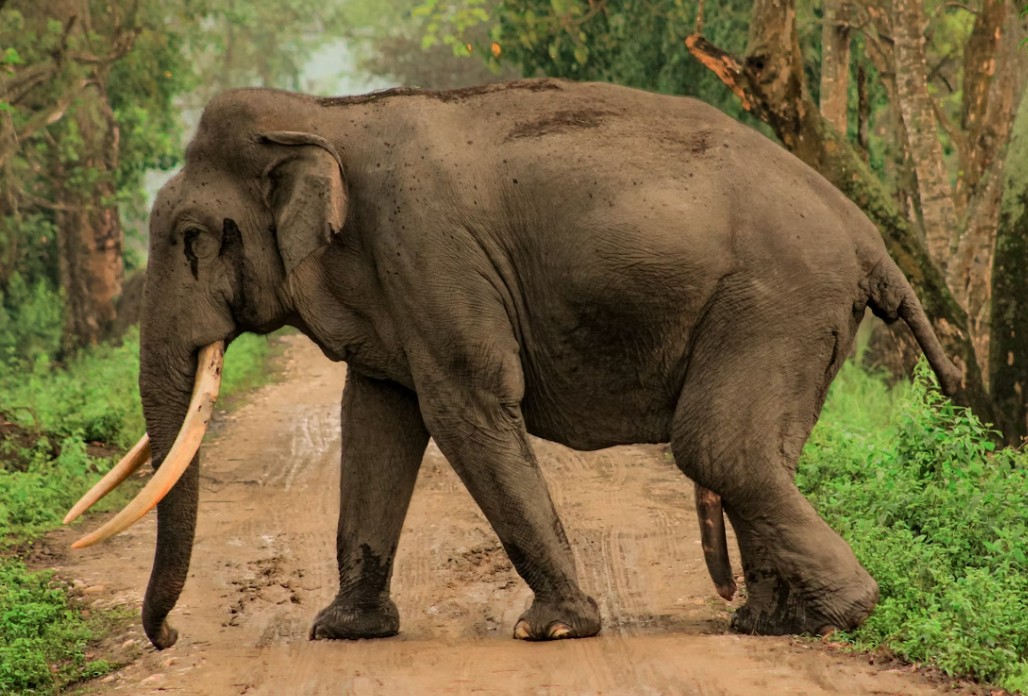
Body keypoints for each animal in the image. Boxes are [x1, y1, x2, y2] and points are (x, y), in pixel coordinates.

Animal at [64, 78, 962, 650]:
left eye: (192, 238)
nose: (168, 636)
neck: (325, 117)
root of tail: (871, 241)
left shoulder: (430, 251)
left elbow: (464, 405)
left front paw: (555, 627)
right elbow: (378, 417)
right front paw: (343, 631)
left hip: (777, 301)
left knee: (719, 448)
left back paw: (842, 615)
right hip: (799, 317)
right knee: (752, 454)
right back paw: (772, 625)